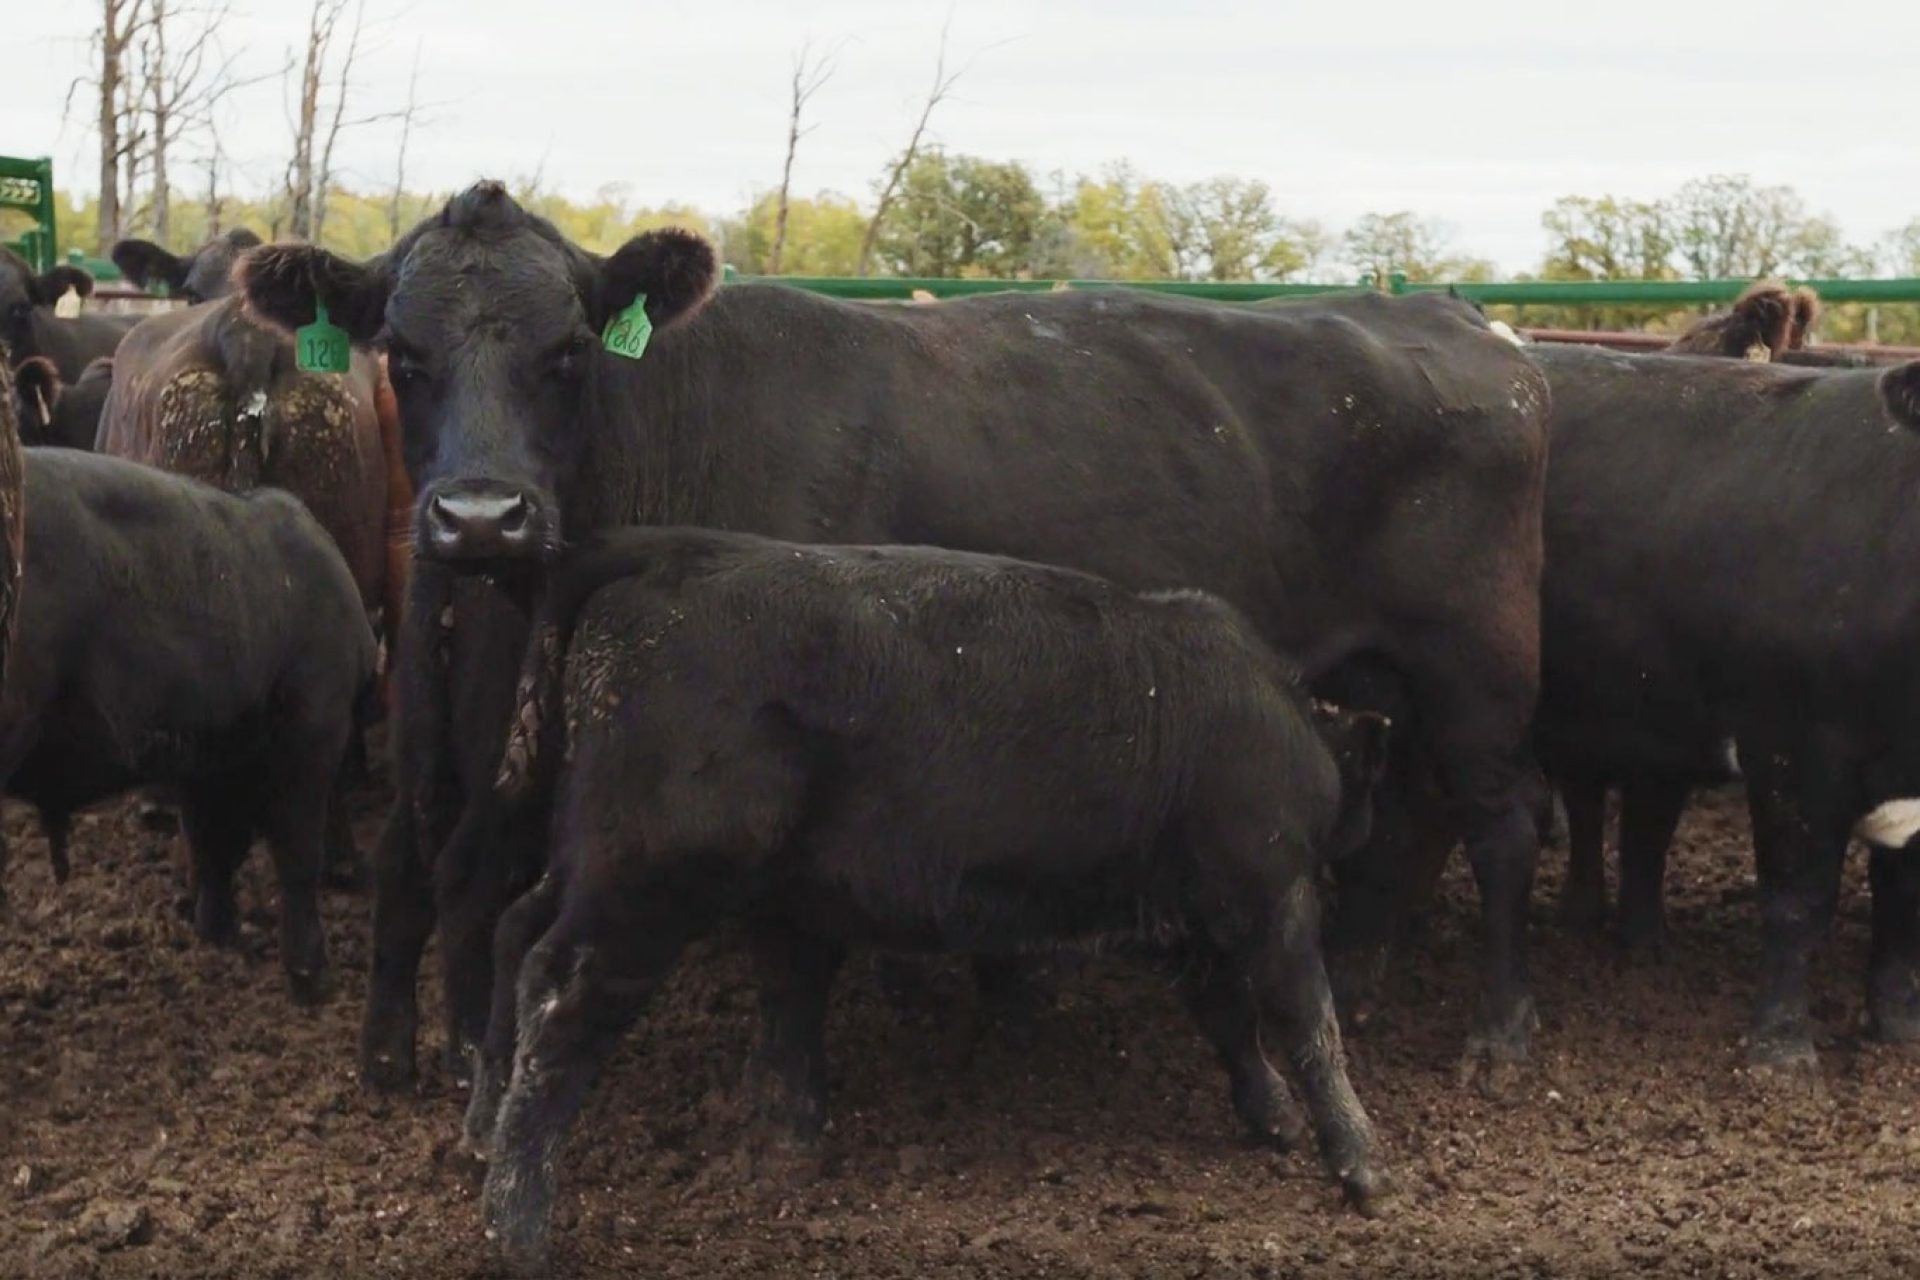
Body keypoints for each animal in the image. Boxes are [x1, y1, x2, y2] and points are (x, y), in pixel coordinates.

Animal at [0, 450, 378, 997]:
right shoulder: (311, 731)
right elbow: (296, 847)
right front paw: (311, 974)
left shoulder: (207, 756)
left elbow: (213, 845)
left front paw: (218, 937)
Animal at [243, 185, 1559, 1097]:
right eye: (401, 353)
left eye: (568, 349)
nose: (480, 516)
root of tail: (1457, 319)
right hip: (1395, 677)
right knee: (1418, 812)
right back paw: (1367, 976)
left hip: (1483, 672)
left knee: (1502, 829)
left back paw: (1499, 1032)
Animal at [460, 529, 1397, 1258]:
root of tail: (659, 551)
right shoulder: (1271, 894)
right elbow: (1307, 1021)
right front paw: (1361, 1163)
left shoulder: (1181, 920)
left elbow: (1233, 1022)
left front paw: (1272, 1120)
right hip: (650, 884)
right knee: (559, 994)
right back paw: (516, 1224)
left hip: (591, 858)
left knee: (513, 932)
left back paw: (478, 1133)